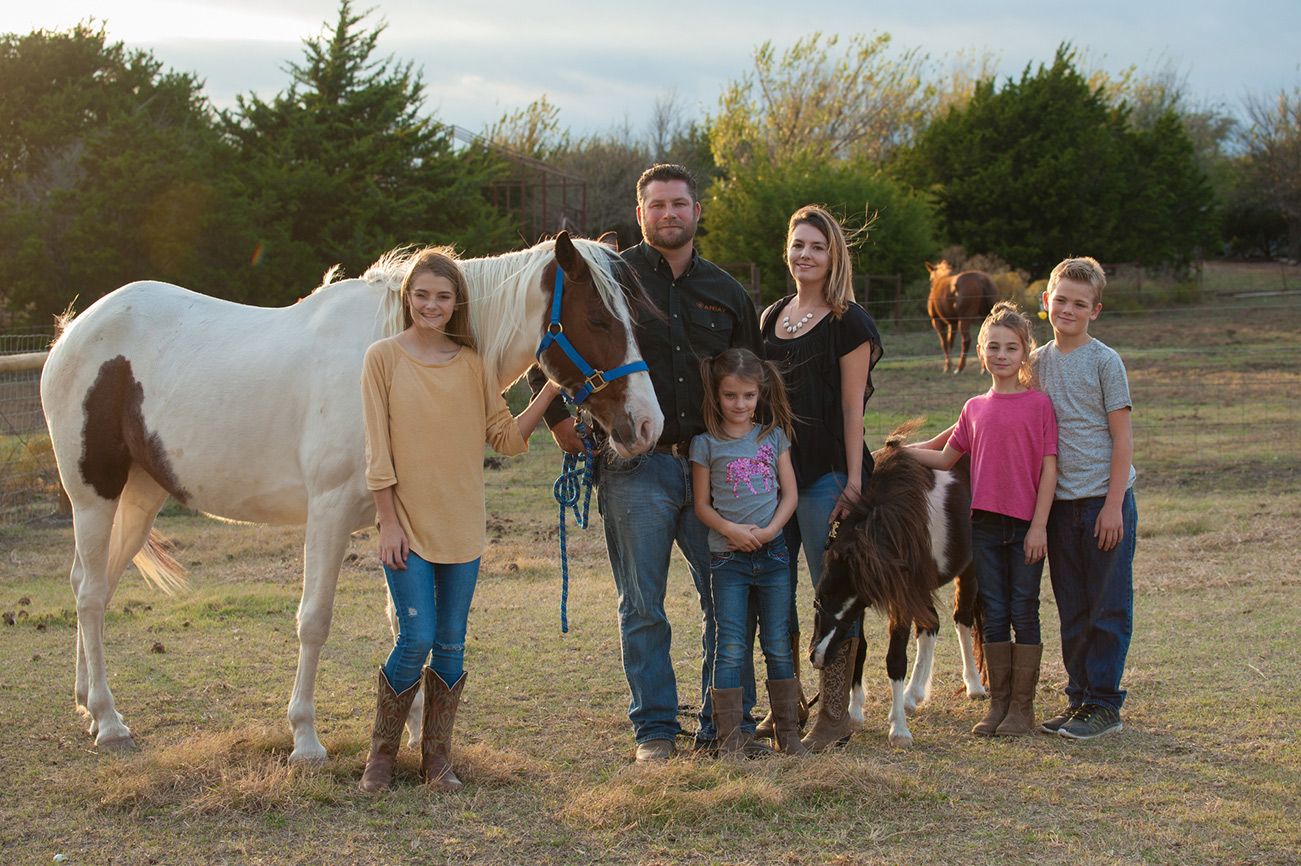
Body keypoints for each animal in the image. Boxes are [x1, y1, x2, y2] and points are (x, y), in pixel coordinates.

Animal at [40, 232, 660, 759]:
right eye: (598, 318)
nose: (647, 426)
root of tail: (74, 331)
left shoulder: (398, 522)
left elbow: (406, 623)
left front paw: (412, 730)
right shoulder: (329, 514)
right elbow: (314, 620)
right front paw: (305, 738)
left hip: (140, 497)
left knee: (92, 585)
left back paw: (86, 705)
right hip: (94, 496)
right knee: (90, 595)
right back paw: (109, 721)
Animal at [806, 429, 978, 743]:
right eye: (818, 600)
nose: (818, 657)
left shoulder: (899, 599)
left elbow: (895, 659)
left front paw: (898, 728)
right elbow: (860, 647)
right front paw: (855, 710)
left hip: (969, 570)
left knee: (962, 620)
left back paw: (974, 685)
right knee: (931, 625)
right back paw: (913, 695)